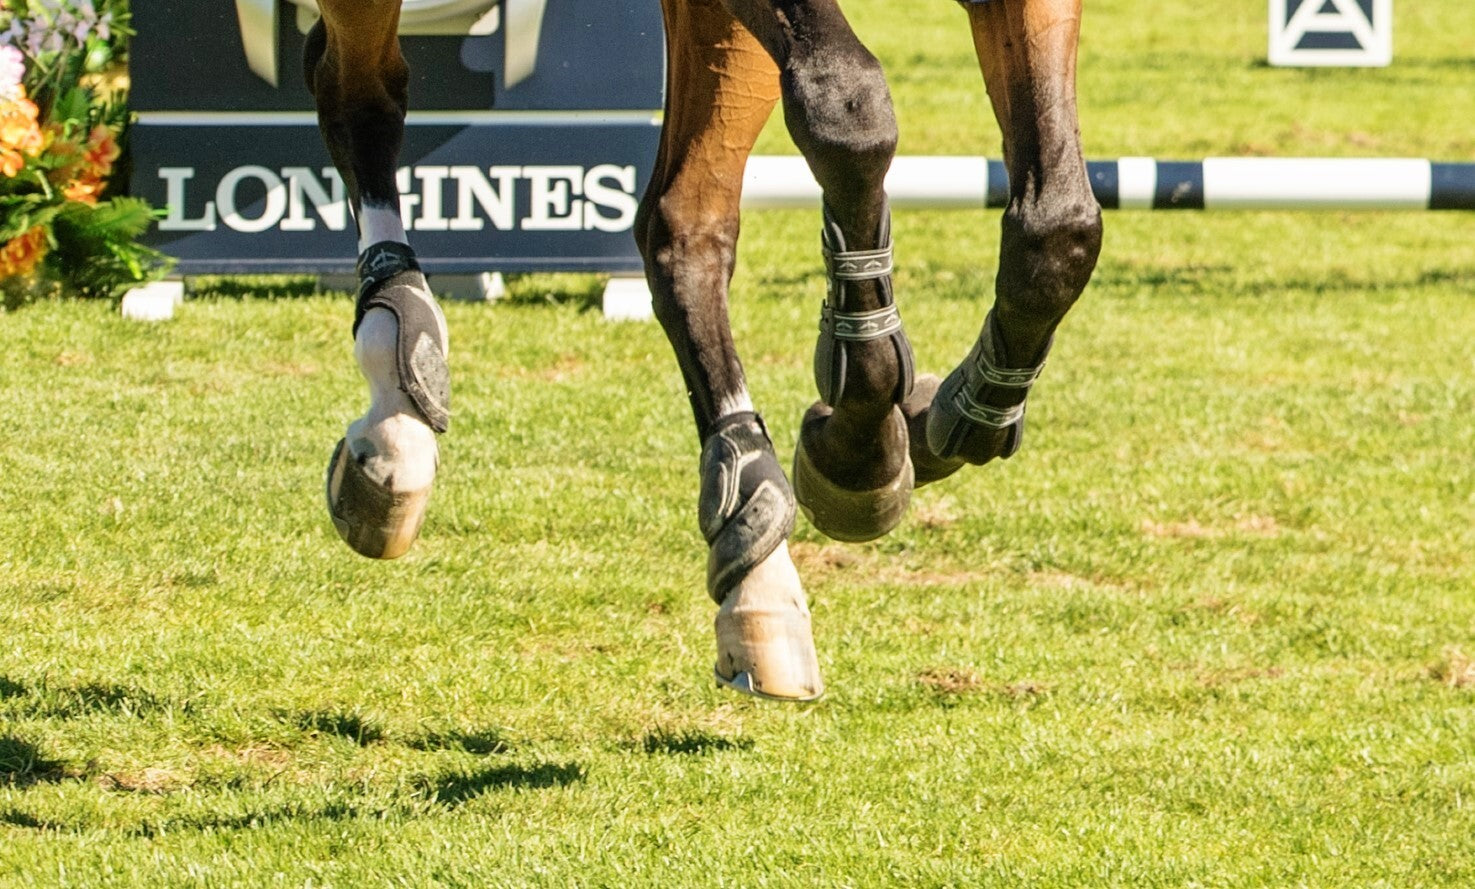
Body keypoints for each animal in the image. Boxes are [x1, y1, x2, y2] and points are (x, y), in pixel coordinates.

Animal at [310, 0, 1102, 702]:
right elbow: (849, 107)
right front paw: (860, 439)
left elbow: (1059, 224)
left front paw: (924, 420)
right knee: (359, 91)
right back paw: (397, 391)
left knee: (683, 224)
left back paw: (755, 544)